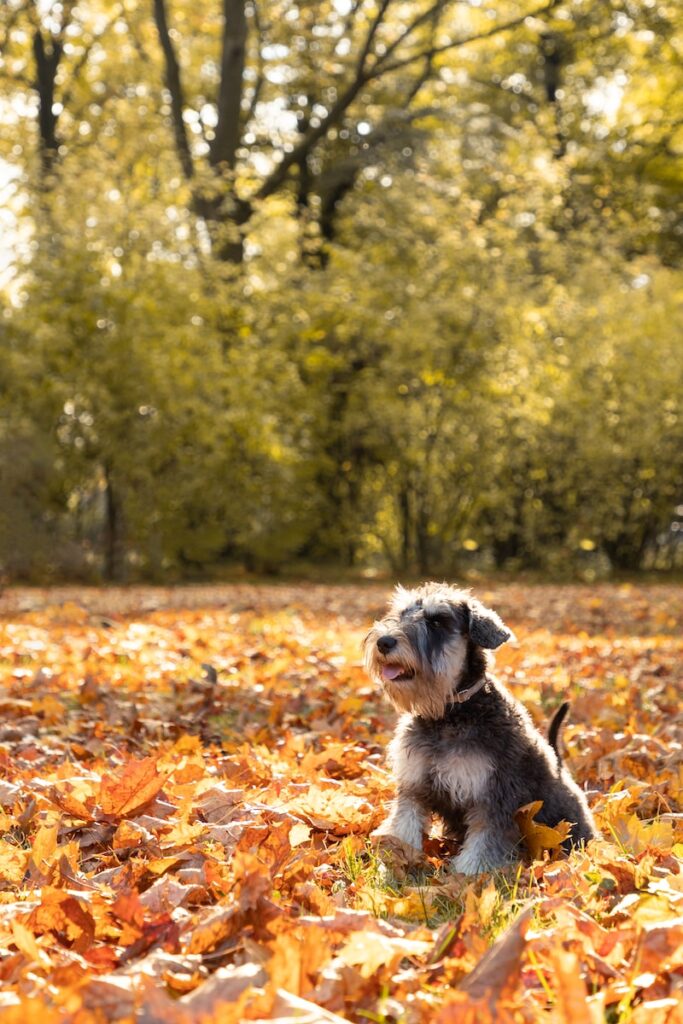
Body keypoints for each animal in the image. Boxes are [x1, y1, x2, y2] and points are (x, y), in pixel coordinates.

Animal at [366, 585, 593, 872]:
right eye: (401, 613)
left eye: (437, 621)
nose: (384, 642)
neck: (448, 715)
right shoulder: (413, 786)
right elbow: (404, 825)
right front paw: (398, 860)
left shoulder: (493, 797)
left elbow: (483, 845)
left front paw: (466, 877)